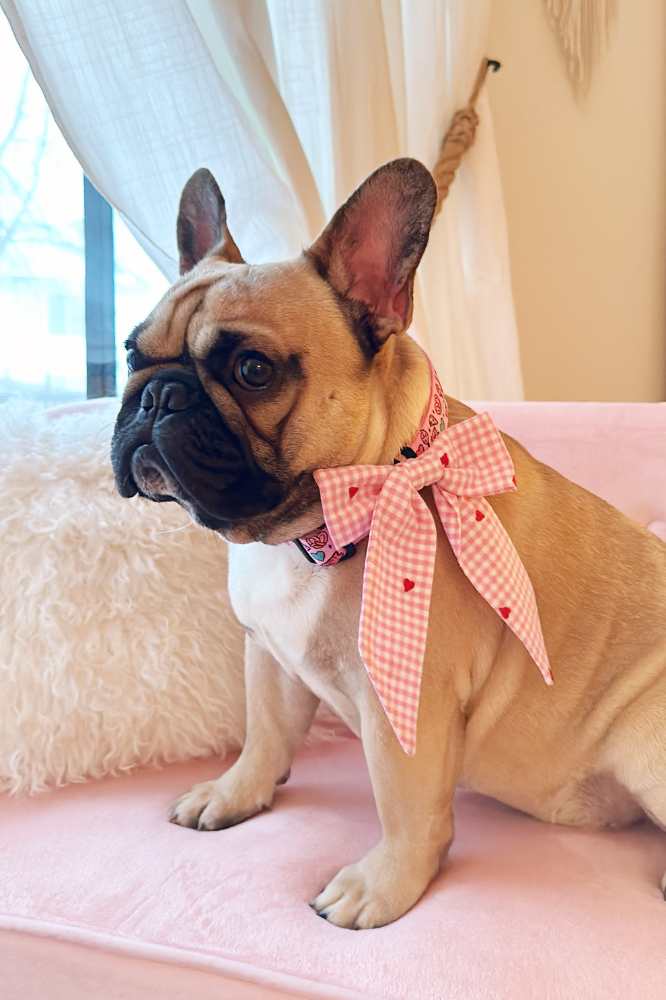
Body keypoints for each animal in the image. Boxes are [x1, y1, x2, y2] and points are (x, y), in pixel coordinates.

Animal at [111, 158, 664, 928]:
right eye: (132, 351)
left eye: (253, 370)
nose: (157, 394)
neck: (312, 530)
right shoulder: (269, 657)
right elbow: (265, 735)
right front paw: (234, 793)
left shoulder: (408, 702)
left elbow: (405, 807)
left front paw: (382, 886)